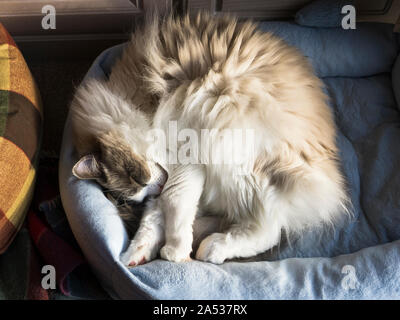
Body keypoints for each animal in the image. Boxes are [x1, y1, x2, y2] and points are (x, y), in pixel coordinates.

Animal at [69, 11, 350, 264]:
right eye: (137, 189)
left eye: (138, 177)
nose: (153, 187)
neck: (133, 102)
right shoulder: (176, 174)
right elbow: (153, 220)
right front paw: (134, 256)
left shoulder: (185, 161)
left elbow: (172, 204)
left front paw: (174, 253)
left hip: (235, 159)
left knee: (269, 227)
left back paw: (211, 248)